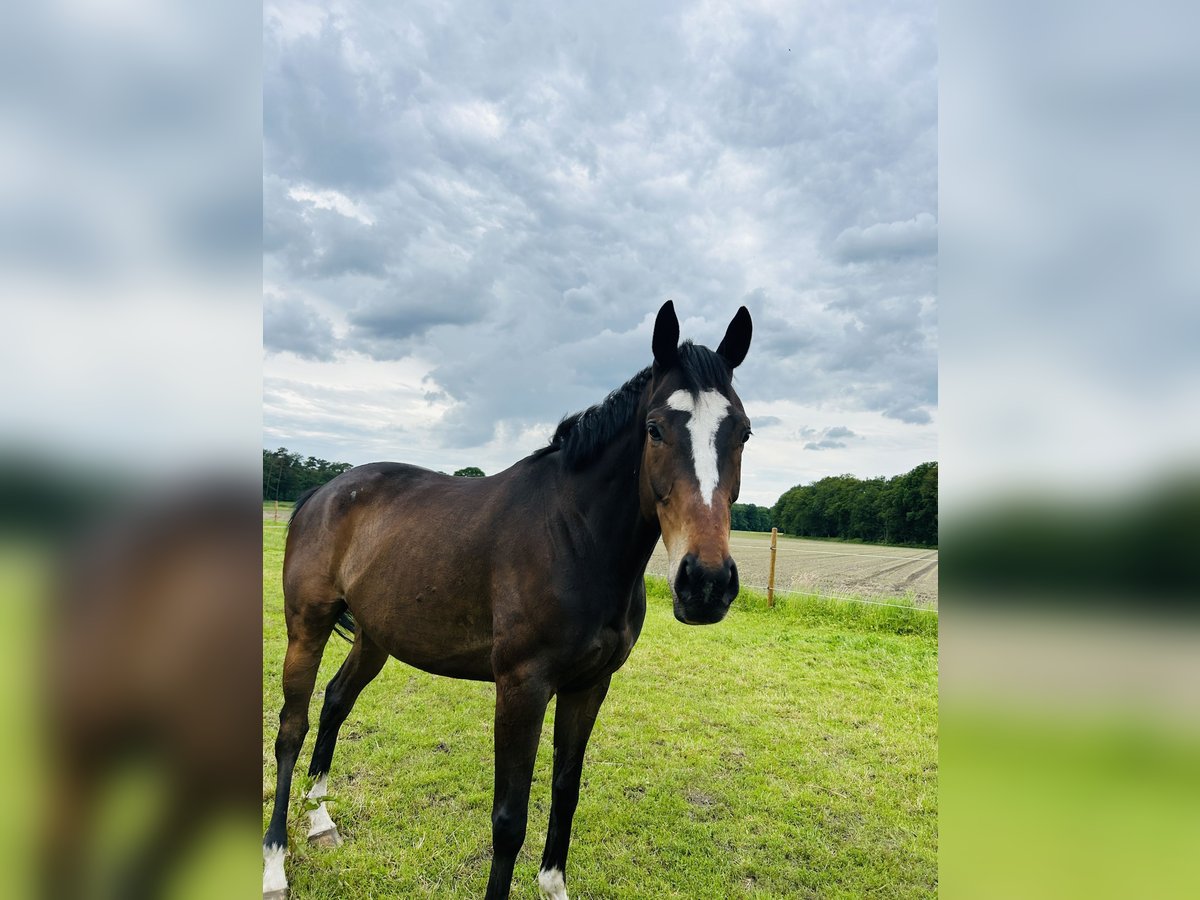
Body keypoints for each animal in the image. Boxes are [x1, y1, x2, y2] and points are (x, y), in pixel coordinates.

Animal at [265, 303, 748, 900]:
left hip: (377, 638)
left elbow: (566, 791)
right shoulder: (522, 688)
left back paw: (320, 822)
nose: (705, 583)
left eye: (743, 432)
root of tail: (324, 492)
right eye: (655, 429)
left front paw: (553, 885)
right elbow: (509, 819)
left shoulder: (590, 686)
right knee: (291, 728)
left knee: (335, 701)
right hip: (305, 628)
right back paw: (274, 862)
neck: (573, 536)